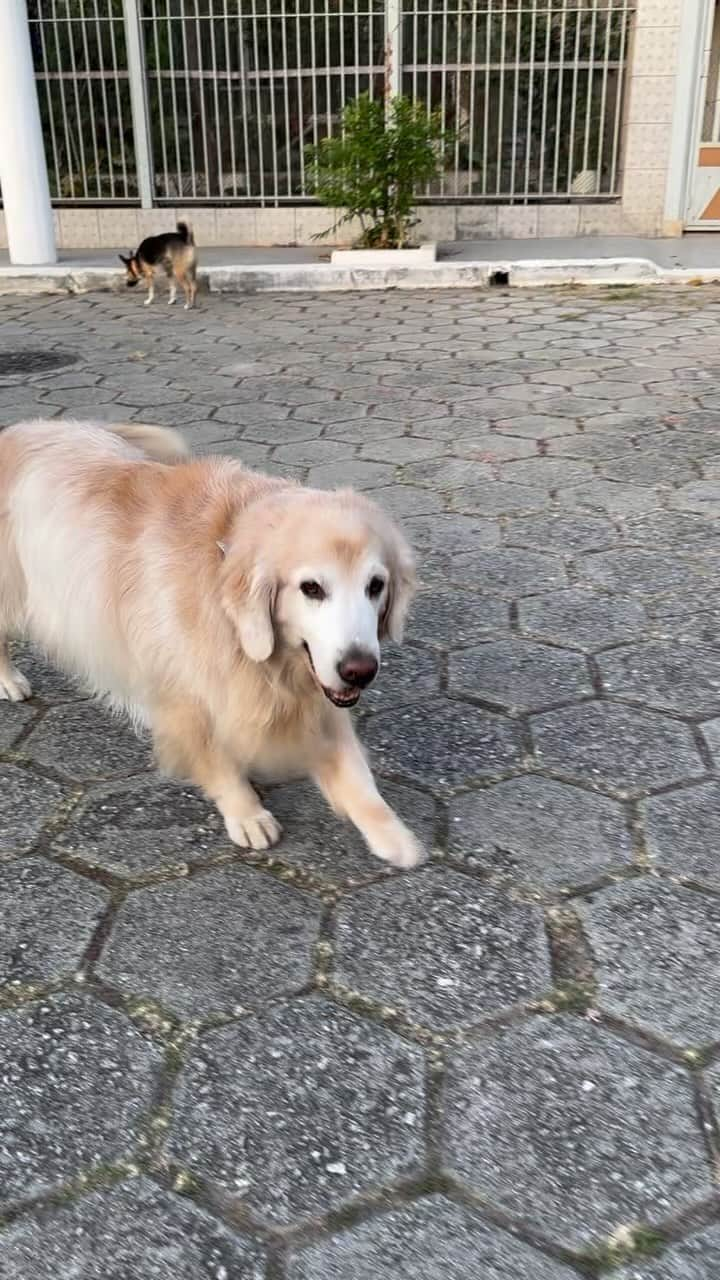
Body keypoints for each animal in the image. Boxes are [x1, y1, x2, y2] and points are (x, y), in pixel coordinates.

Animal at [0, 419, 422, 870]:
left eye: (376, 586)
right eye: (311, 588)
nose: (360, 671)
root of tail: (21, 428)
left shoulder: (317, 694)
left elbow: (354, 770)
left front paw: (391, 831)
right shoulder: (183, 695)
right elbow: (215, 757)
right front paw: (247, 812)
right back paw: (10, 680)